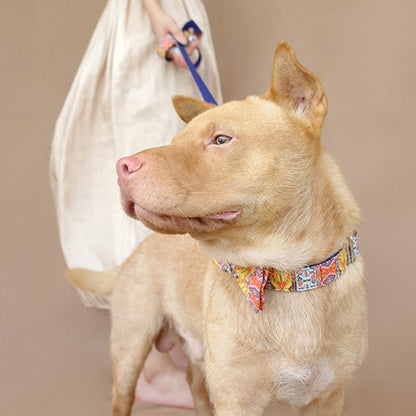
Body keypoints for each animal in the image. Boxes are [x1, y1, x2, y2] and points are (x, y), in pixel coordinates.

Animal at [67, 40, 368, 414]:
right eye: (175, 141)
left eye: (221, 140)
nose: (122, 166)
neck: (289, 277)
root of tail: (136, 251)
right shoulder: (238, 400)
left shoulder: (328, 397)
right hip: (130, 348)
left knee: (194, 383)